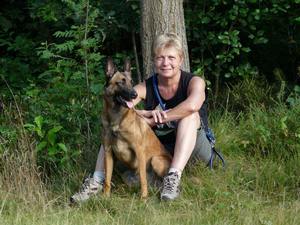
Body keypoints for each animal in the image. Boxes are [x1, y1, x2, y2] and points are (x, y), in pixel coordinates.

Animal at [102, 58, 171, 199]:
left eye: (131, 82)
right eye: (120, 82)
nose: (135, 94)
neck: (117, 118)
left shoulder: (139, 151)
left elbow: (143, 179)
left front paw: (143, 198)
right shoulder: (108, 152)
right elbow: (107, 179)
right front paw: (105, 197)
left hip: (156, 160)